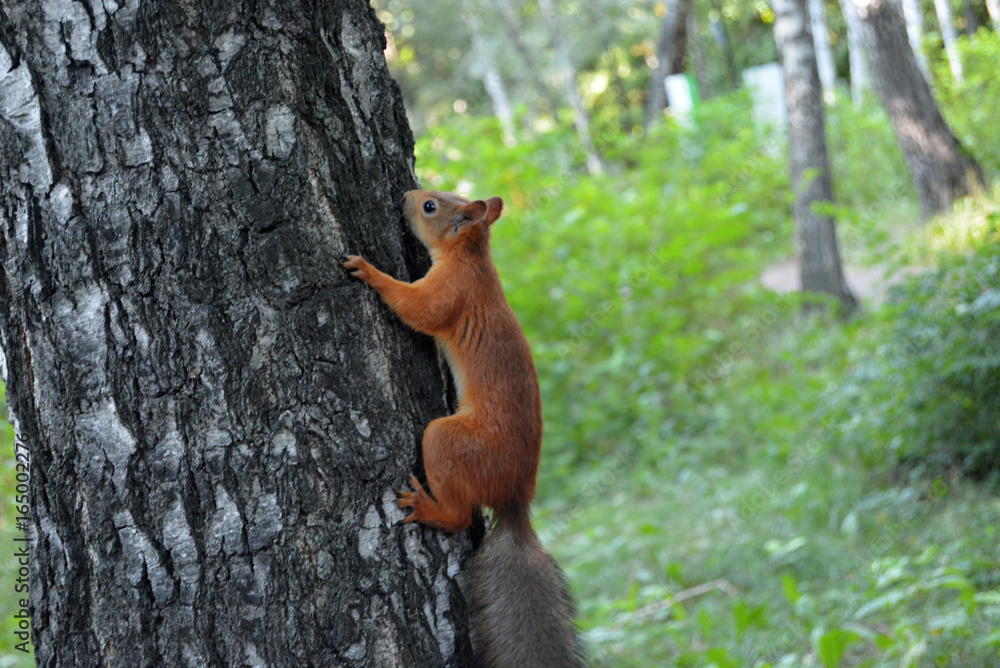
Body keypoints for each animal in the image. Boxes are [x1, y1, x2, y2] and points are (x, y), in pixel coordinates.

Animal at [344, 188, 584, 668]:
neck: (471, 258)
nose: (406, 194)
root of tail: (514, 497)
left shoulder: (450, 292)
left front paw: (368, 270)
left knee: (458, 516)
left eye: (430, 206)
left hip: (449, 439)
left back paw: (427, 507)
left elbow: (418, 308)